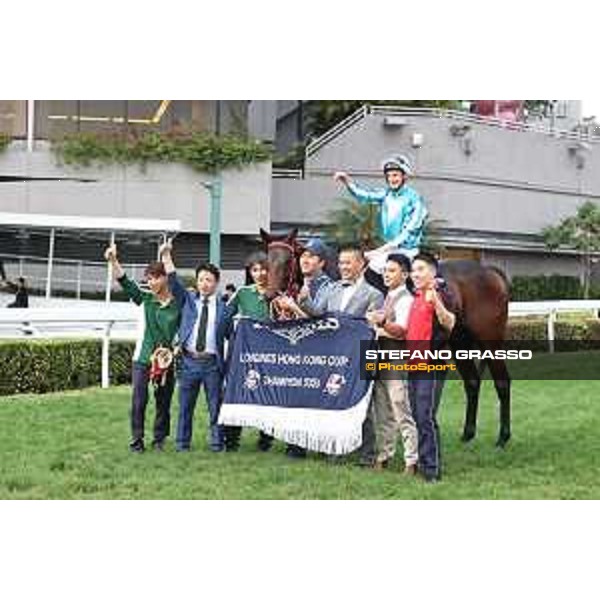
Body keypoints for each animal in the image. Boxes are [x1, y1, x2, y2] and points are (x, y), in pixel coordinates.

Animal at [258, 227, 510, 448]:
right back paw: (468, 434)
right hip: (459, 343)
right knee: (472, 382)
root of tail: (491, 272)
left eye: (288, 261)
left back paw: (503, 437)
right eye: (266, 262)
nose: (269, 295)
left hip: (490, 341)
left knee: (502, 381)